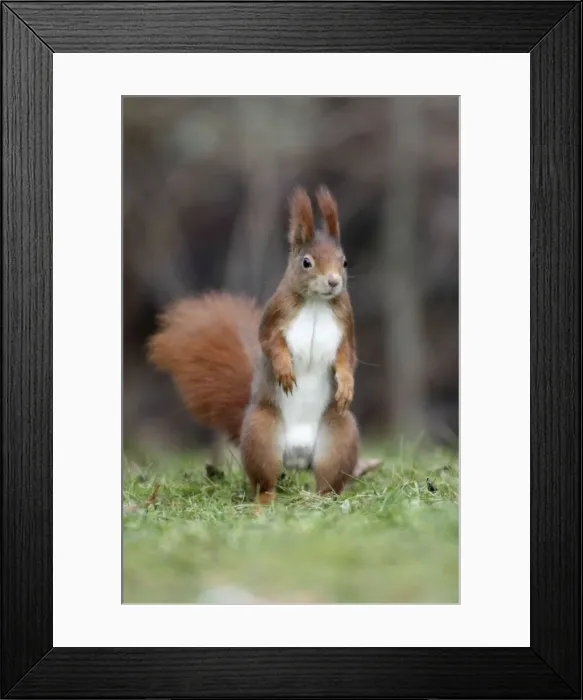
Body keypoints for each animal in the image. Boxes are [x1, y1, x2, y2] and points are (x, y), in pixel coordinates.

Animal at [148, 186, 361, 505]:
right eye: (306, 262)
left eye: (344, 261)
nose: (334, 282)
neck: (315, 302)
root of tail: (297, 457)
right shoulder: (274, 316)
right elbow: (270, 343)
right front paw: (284, 369)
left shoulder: (346, 324)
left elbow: (347, 357)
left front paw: (346, 385)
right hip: (262, 433)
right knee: (265, 480)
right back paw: (264, 503)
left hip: (339, 435)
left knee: (327, 478)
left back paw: (323, 500)